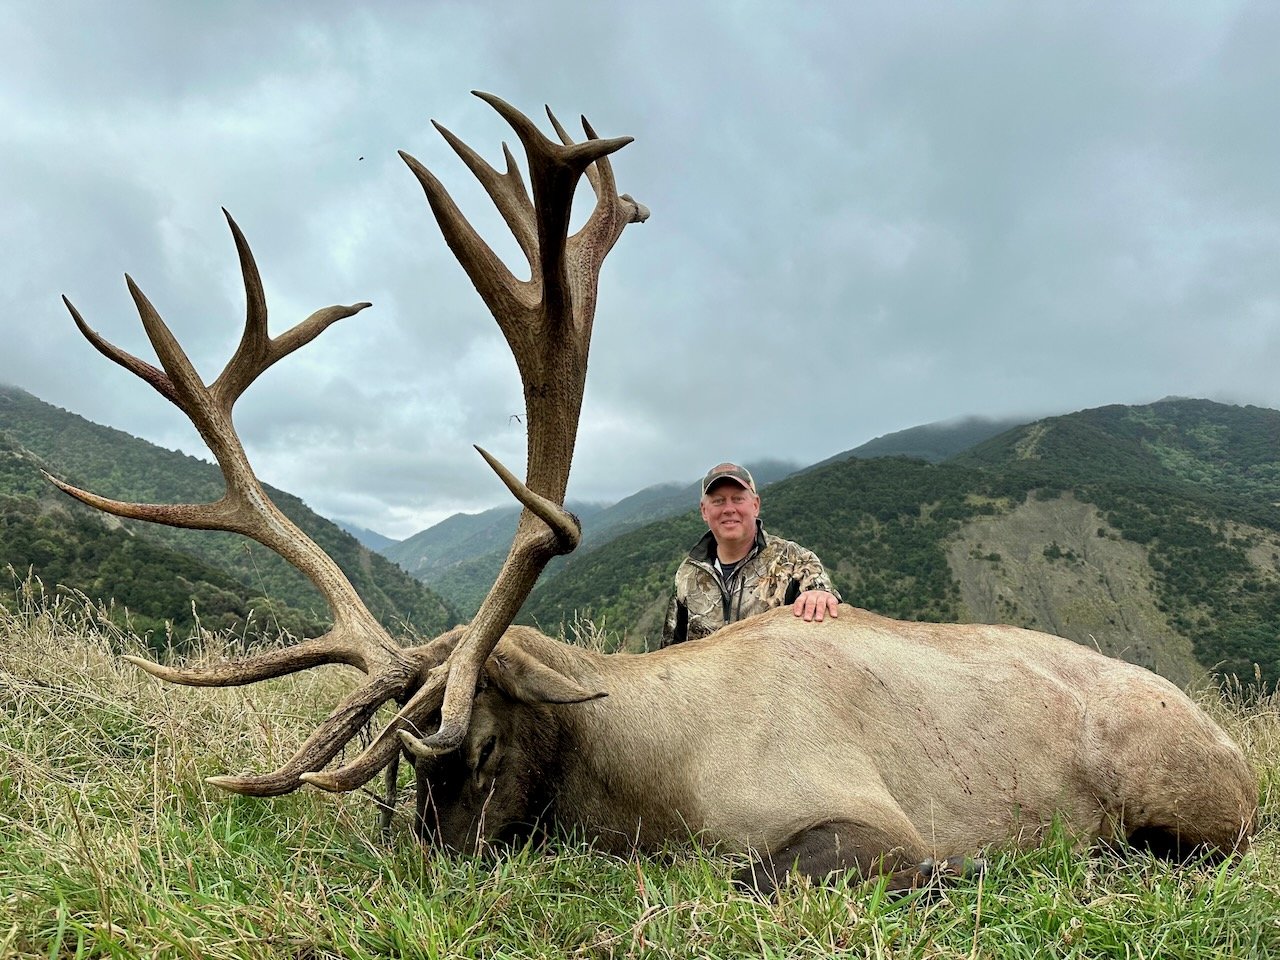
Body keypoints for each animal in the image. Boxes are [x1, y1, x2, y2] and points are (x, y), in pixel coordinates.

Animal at [50, 92, 1257, 895]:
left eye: (478, 751)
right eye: (405, 779)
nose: (434, 873)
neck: (647, 776)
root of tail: (1241, 755)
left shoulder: (878, 827)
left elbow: (774, 869)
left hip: (1184, 797)